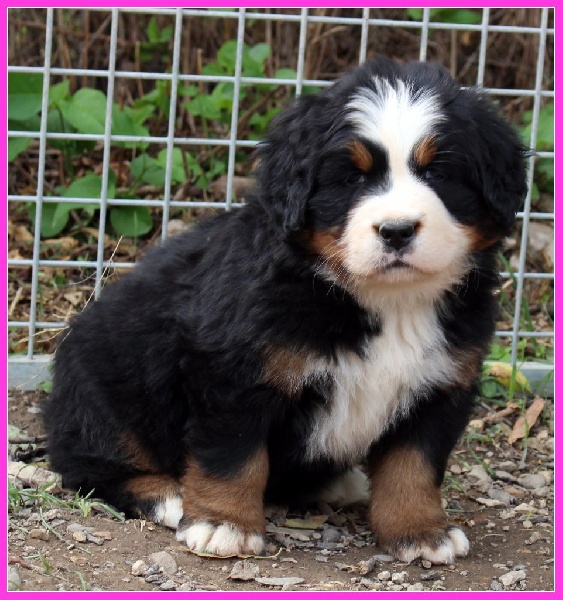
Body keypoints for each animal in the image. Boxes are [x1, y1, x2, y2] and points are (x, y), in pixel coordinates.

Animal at [43, 56, 527, 564]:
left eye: (438, 174)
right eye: (353, 178)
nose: (396, 230)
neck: (387, 301)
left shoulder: (441, 383)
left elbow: (413, 465)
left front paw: (420, 530)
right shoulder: (234, 370)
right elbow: (234, 455)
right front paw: (224, 523)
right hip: (105, 390)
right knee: (91, 466)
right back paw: (170, 497)